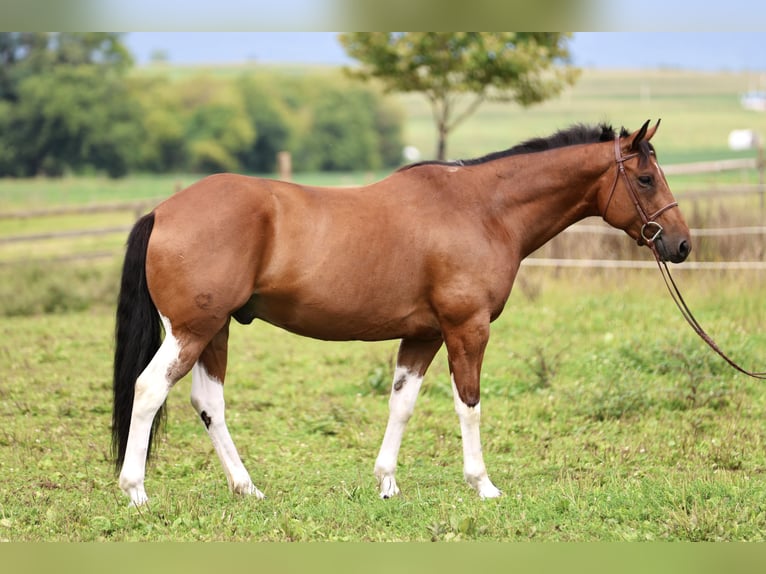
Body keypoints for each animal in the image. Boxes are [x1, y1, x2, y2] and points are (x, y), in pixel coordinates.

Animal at [112, 119, 691, 506]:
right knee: (149, 389)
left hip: (215, 331)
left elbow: (402, 404)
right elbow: (469, 404)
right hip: (191, 331)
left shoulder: (424, 336)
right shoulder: (466, 328)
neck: (484, 209)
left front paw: (386, 481)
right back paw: (135, 490)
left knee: (208, 402)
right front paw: (482, 484)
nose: (682, 244)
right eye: (645, 179)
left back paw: (245, 487)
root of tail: (163, 210)